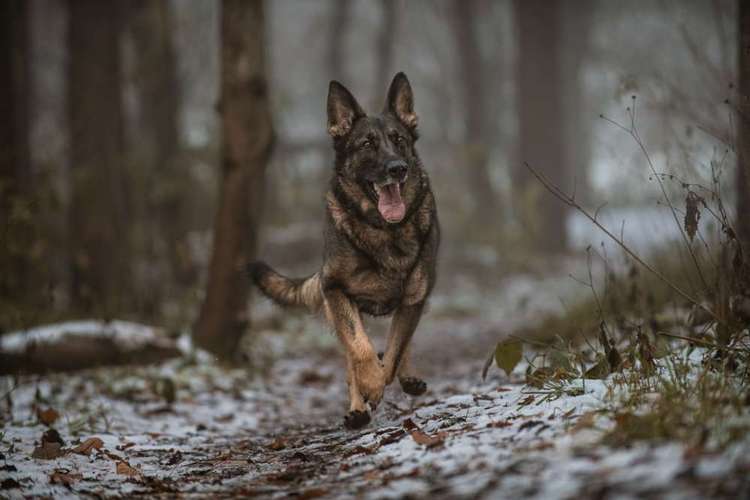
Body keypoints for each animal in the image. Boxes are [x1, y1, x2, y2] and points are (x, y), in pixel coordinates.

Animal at [250, 73, 440, 430]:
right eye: (366, 144)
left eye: (399, 140)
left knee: (398, 343)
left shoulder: (414, 298)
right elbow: (360, 350)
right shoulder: (336, 290)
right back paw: (358, 407)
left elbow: (394, 352)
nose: (398, 168)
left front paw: (385, 378)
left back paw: (405, 378)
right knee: (352, 354)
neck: (382, 229)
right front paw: (368, 387)